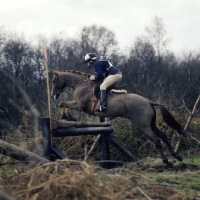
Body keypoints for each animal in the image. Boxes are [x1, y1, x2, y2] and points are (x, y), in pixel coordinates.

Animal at [50, 69, 187, 166]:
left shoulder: (79, 105)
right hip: (151, 124)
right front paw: (68, 117)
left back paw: (167, 161)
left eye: (53, 81)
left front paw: (67, 117)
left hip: (143, 126)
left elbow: (63, 103)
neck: (81, 84)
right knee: (163, 136)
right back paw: (176, 156)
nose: (52, 95)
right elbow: (63, 104)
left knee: (157, 140)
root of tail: (148, 101)